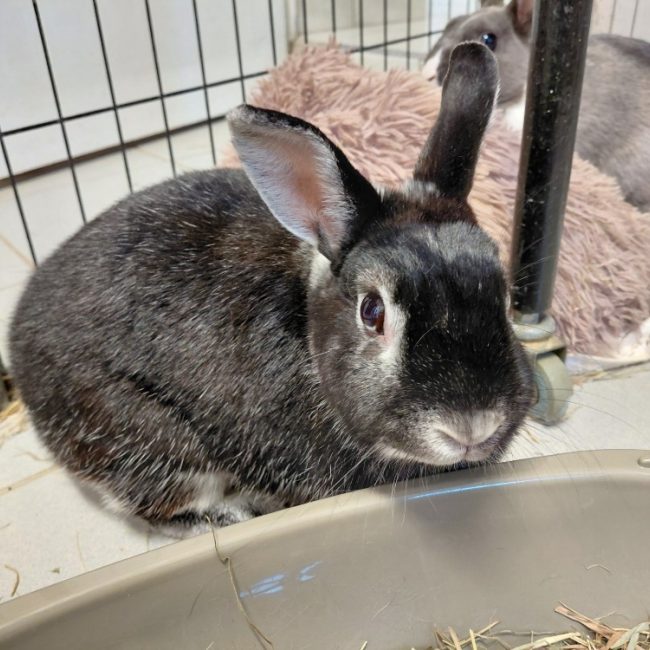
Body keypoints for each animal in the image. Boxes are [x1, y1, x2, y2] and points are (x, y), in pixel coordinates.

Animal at [9, 43, 534, 536]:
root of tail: (18, 340)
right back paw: (227, 516)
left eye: (505, 296)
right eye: (372, 311)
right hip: (151, 442)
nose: (471, 426)